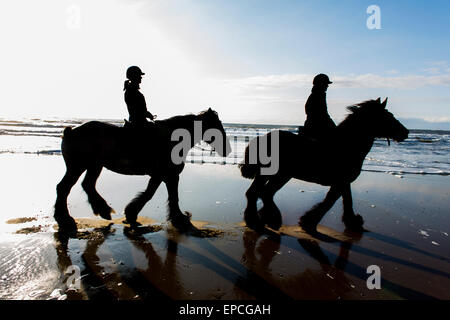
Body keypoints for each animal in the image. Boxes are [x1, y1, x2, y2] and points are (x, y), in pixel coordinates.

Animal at [55, 107, 232, 232]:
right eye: (216, 125)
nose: (227, 149)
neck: (172, 139)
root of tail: (70, 131)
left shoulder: (165, 176)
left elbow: (160, 194)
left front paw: (133, 213)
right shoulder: (166, 175)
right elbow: (159, 195)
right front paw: (179, 218)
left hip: (94, 166)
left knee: (87, 185)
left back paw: (102, 210)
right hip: (78, 167)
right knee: (63, 188)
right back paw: (65, 219)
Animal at [241, 97, 410, 232]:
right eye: (388, 116)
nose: (406, 132)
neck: (347, 146)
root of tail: (261, 138)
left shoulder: (344, 182)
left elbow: (345, 201)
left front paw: (353, 222)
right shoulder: (341, 182)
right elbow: (331, 201)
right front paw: (309, 221)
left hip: (278, 175)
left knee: (261, 193)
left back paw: (263, 218)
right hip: (275, 174)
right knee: (259, 193)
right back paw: (265, 219)